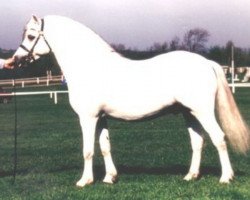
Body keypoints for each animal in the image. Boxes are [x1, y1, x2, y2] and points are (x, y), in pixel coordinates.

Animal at [14, 14, 250, 187]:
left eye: (31, 36)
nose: (16, 59)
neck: (90, 66)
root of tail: (207, 62)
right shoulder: (101, 118)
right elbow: (105, 147)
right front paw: (110, 178)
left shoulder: (88, 118)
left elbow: (88, 150)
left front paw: (84, 181)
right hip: (188, 113)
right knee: (198, 141)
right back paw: (190, 176)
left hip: (203, 112)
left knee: (219, 138)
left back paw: (225, 178)